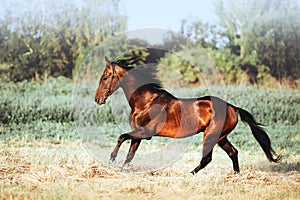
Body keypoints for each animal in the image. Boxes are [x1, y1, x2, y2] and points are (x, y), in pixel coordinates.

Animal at [94, 57, 282, 174]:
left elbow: (121, 137)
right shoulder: (138, 135)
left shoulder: (145, 133)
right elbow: (130, 155)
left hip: (211, 135)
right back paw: (235, 175)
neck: (146, 101)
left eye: (105, 77)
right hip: (221, 137)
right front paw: (121, 168)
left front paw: (111, 159)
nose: (97, 99)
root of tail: (232, 107)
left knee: (208, 159)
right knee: (233, 152)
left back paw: (189, 173)